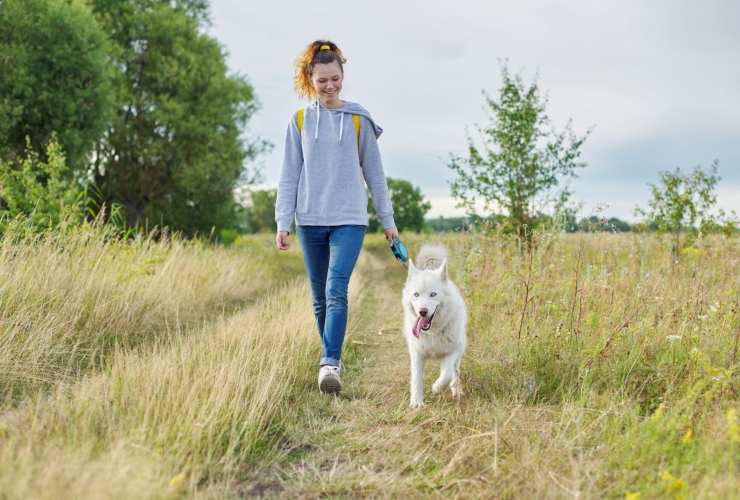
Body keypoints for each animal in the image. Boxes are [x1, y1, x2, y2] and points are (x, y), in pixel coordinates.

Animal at [402, 244, 466, 408]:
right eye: (416, 294)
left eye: (433, 294)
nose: (422, 311)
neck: (432, 332)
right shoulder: (417, 354)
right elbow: (416, 379)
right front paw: (417, 403)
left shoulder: (451, 351)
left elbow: (447, 373)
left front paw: (437, 387)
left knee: (455, 372)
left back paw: (456, 390)